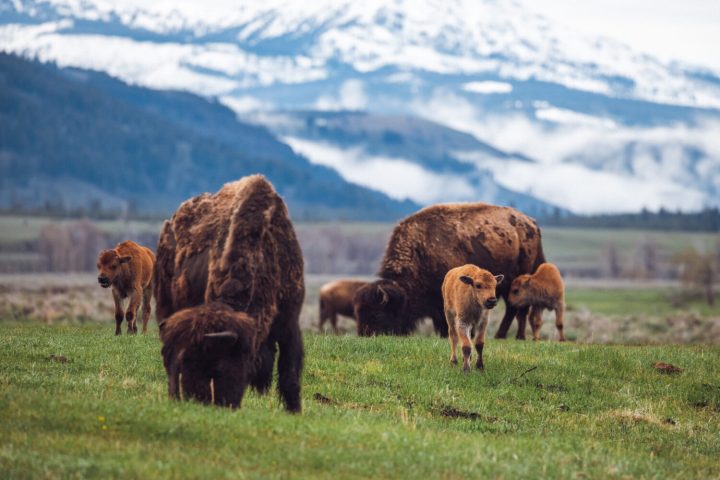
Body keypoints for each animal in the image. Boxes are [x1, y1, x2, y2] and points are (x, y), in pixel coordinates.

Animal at [155, 175, 305, 412]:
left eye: (214, 364)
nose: (197, 402)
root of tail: (170, 223)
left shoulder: (289, 324)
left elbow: (289, 376)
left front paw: (295, 412)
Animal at [352, 203, 545, 338]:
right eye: (359, 312)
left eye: (377, 314)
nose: (365, 335)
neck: (421, 252)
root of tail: (532, 224)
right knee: (515, 309)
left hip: (515, 281)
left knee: (518, 308)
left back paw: (511, 336)